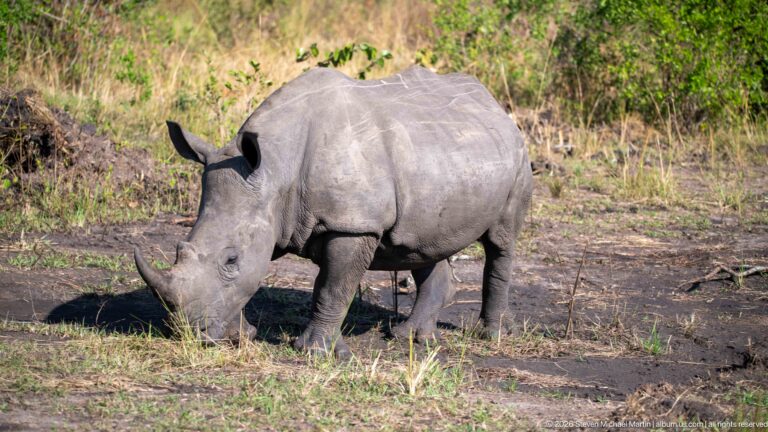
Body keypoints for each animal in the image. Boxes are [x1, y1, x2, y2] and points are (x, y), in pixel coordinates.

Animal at [134, 66, 532, 357]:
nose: (189, 334)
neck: (276, 170)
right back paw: (410, 338)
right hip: (444, 156)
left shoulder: (353, 224)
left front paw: (314, 353)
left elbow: (332, 286)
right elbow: (253, 280)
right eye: (179, 249)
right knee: (421, 245)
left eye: (231, 259)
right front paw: (241, 335)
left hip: (517, 156)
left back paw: (491, 335)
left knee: (501, 241)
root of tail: (494, 104)